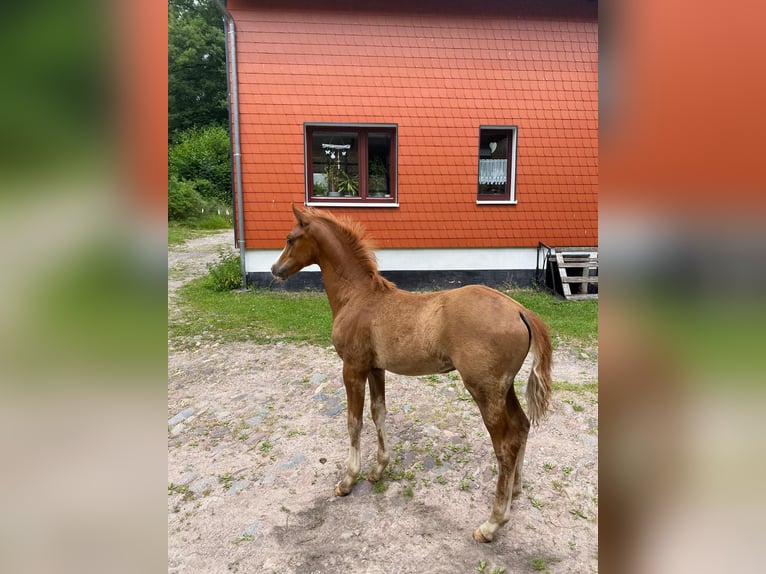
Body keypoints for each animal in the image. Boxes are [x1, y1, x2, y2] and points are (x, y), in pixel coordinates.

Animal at [272, 208, 556, 544]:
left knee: (506, 444)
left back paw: (491, 524)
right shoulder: (375, 368)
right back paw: (515, 490)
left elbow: (354, 422)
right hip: (503, 387)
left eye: (291, 238)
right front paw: (378, 470)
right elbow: (378, 412)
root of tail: (519, 309)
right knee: (522, 426)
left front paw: (348, 480)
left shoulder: (352, 368)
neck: (358, 297)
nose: (275, 269)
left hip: (484, 390)